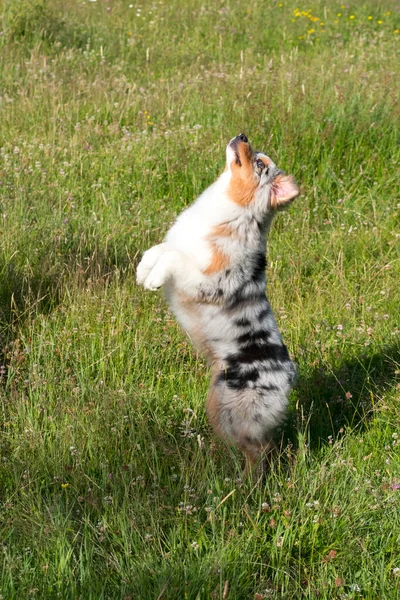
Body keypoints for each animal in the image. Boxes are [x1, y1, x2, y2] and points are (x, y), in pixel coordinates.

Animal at [136, 134, 298, 476]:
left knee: (260, 450)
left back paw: (245, 485)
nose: (242, 135)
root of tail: (288, 374)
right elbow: (159, 248)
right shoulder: (180, 242)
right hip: (217, 402)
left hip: (233, 413)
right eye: (257, 154)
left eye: (259, 163)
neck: (228, 210)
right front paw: (143, 271)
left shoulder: (207, 281)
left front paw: (153, 279)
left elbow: (172, 257)